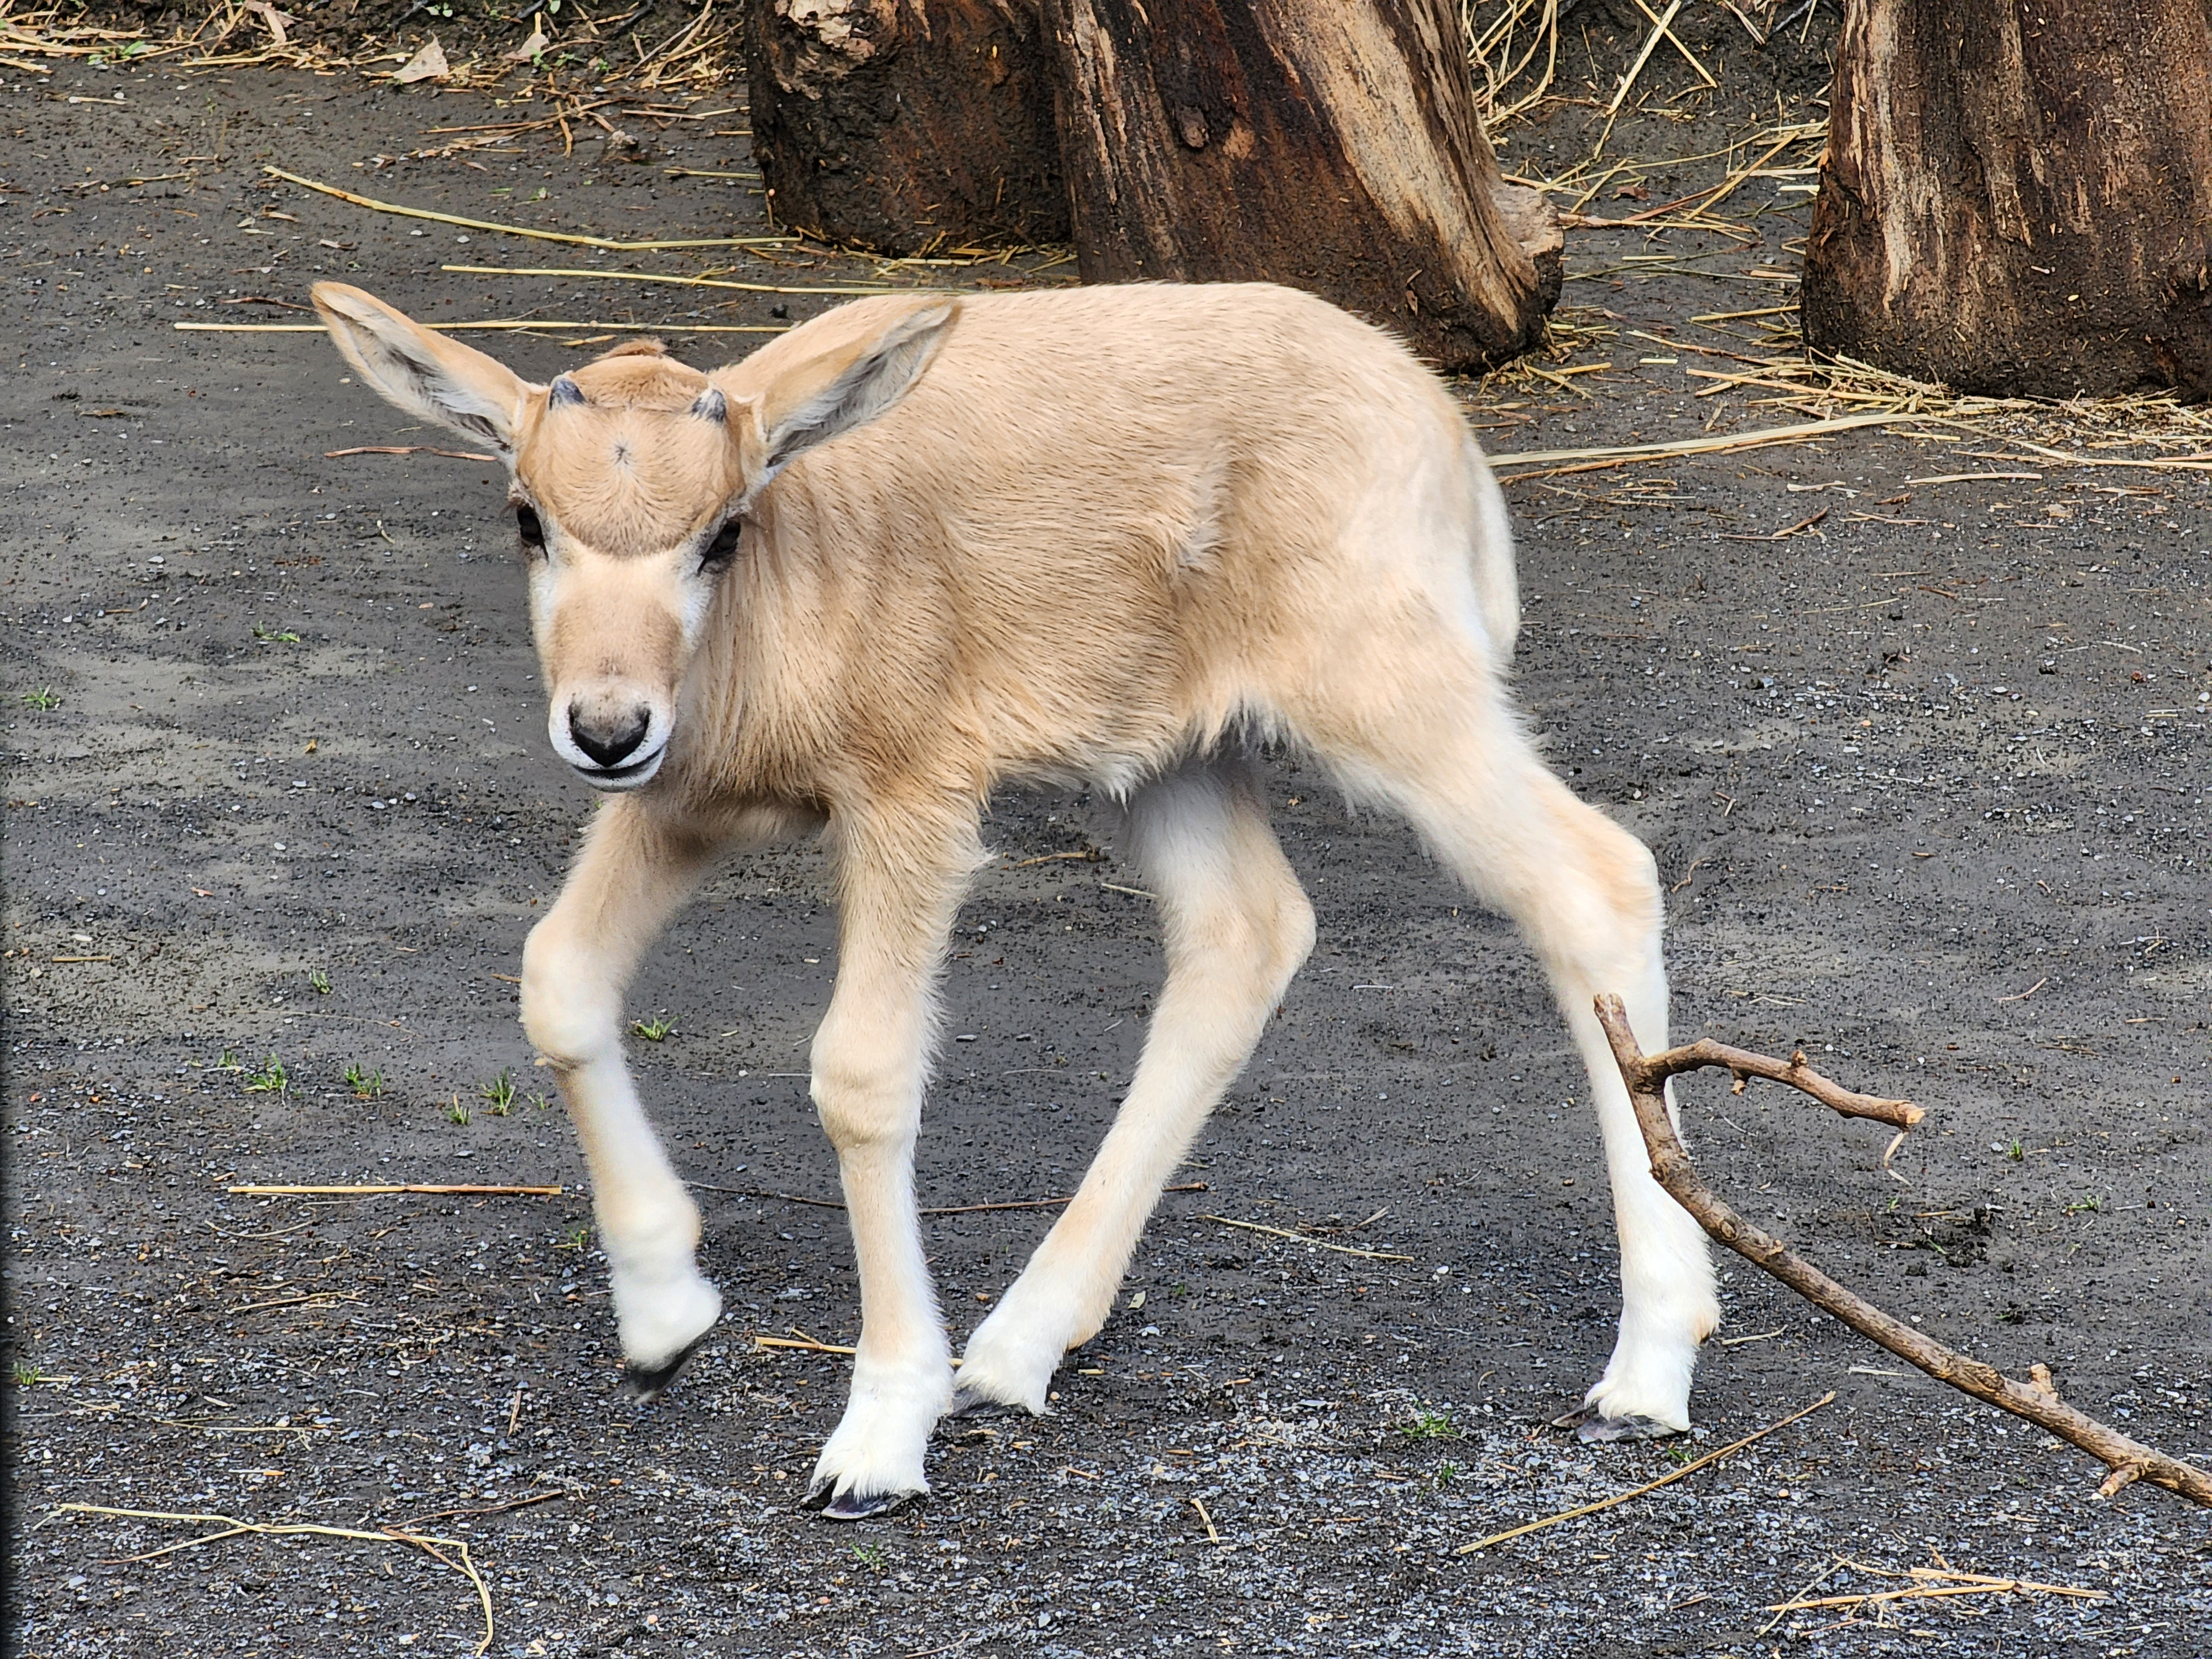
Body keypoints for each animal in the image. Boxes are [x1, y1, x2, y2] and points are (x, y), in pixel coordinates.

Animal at [316, 283, 1725, 1522]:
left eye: (719, 531)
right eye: (529, 517)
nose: (606, 725)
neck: (800, 546)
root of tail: (1434, 423)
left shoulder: (913, 802)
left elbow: (862, 1074)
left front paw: (877, 1436)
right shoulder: (685, 803)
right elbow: (557, 977)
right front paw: (665, 1310)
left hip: (1388, 695)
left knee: (1591, 880)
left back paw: (1649, 1365)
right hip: (1172, 759)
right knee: (1246, 932)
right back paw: (1013, 1349)